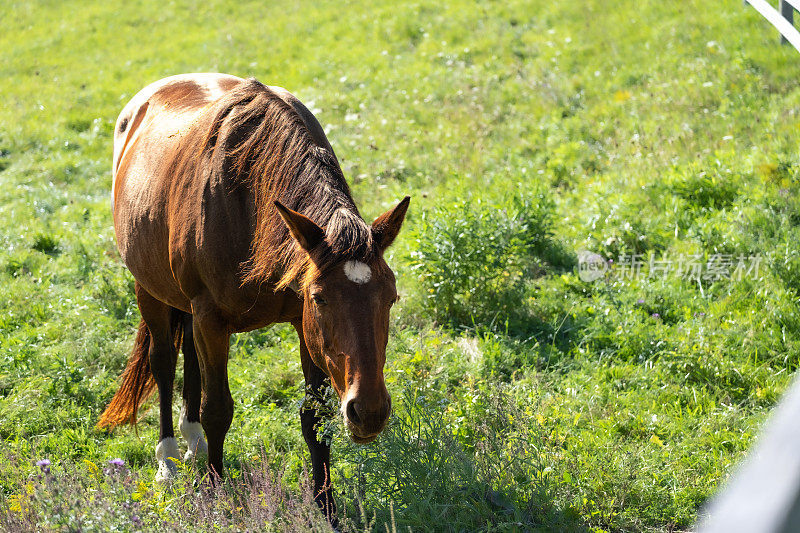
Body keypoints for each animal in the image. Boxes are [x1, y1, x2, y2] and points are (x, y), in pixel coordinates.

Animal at [99, 72, 410, 516]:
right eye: (321, 298)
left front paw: (327, 506)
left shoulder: (301, 325)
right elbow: (217, 409)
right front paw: (214, 492)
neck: (250, 205)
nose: (368, 412)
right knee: (163, 362)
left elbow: (314, 415)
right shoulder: (214, 319)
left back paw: (191, 440)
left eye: (391, 298)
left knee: (188, 353)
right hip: (150, 290)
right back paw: (169, 460)